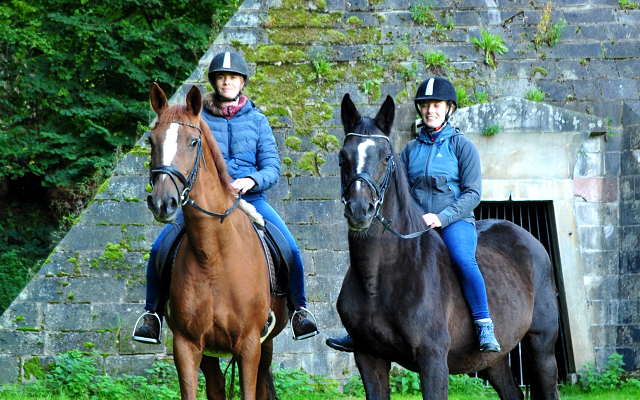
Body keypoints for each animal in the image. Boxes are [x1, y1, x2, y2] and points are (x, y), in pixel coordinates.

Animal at [148, 83, 288, 398]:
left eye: (193, 142)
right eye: (151, 141)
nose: (163, 203)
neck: (212, 256)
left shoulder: (249, 346)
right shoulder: (186, 346)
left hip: (266, 345)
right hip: (211, 356)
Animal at [338, 92, 556, 398]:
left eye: (386, 157)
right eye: (342, 157)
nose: (360, 210)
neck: (378, 278)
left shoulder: (432, 359)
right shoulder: (368, 357)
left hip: (542, 346)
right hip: (493, 359)